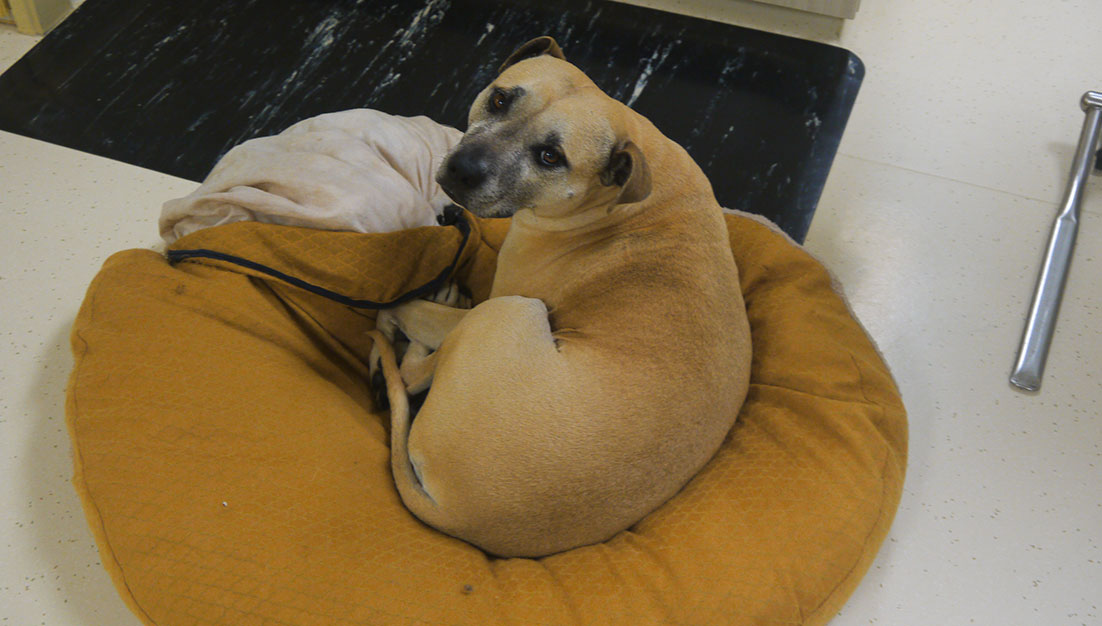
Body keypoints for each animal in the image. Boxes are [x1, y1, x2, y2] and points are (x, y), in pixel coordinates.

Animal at [374, 38, 753, 557]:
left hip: (509, 313)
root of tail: (459, 518)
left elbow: (404, 305)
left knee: (413, 373)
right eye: (499, 99)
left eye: (551, 156)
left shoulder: (496, 296)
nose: (461, 170)